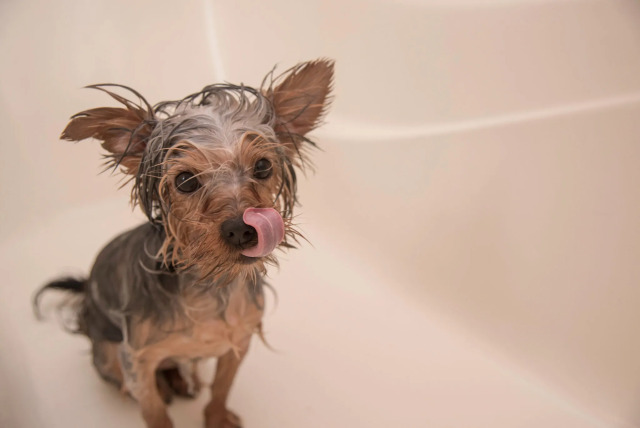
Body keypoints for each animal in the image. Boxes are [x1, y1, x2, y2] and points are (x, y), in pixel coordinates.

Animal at [34, 59, 334, 428]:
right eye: (185, 180)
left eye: (263, 166)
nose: (243, 229)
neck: (210, 284)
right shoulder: (137, 359)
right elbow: (154, 412)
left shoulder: (239, 340)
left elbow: (221, 389)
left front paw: (216, 418)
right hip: (107, 353)